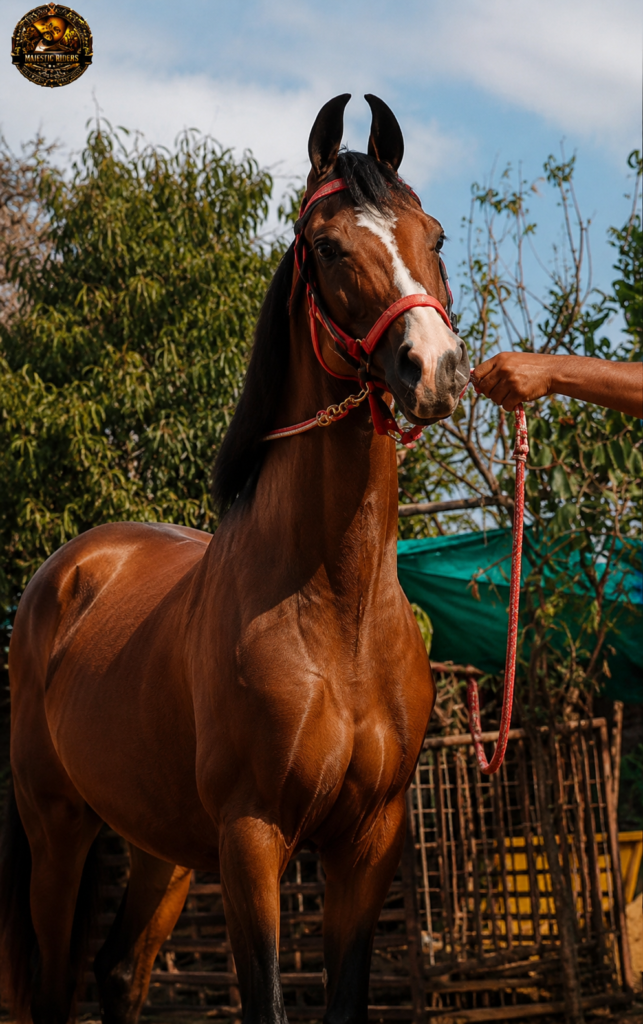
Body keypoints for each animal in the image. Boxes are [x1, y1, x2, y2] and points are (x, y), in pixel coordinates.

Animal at [0, 93, 469, 1024]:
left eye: (432, 235)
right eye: (326, 247)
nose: (430, 369)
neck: (334, 609)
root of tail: (66, 574)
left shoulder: (369, 841)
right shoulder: (253, 837)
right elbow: (266, 1001)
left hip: (161, 844)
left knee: (121, 971)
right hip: (58, 827)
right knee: (56, 989)